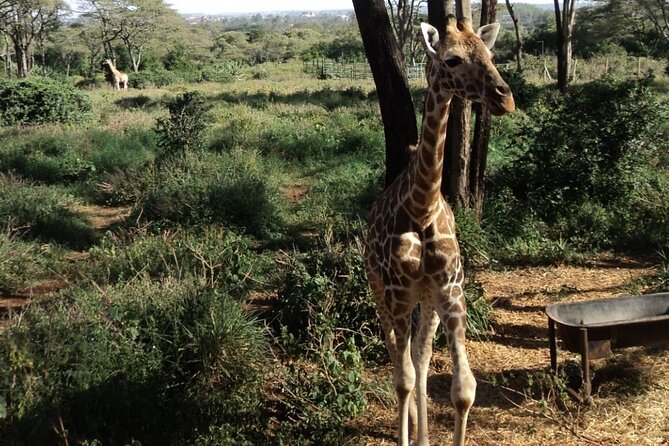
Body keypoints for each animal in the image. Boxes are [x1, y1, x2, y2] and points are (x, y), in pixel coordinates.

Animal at [364, 16, 515, 446]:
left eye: (490, 55)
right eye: (452, 60)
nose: (505, 99)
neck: (423, 205)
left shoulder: (450, 291)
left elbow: (463, 388)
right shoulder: (398, 294)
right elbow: (401, 380)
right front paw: (405, 436)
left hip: (427, 299)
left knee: (421, 355)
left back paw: (424, 436)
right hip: (380, 290)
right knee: (398, 353)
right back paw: (414, 430)